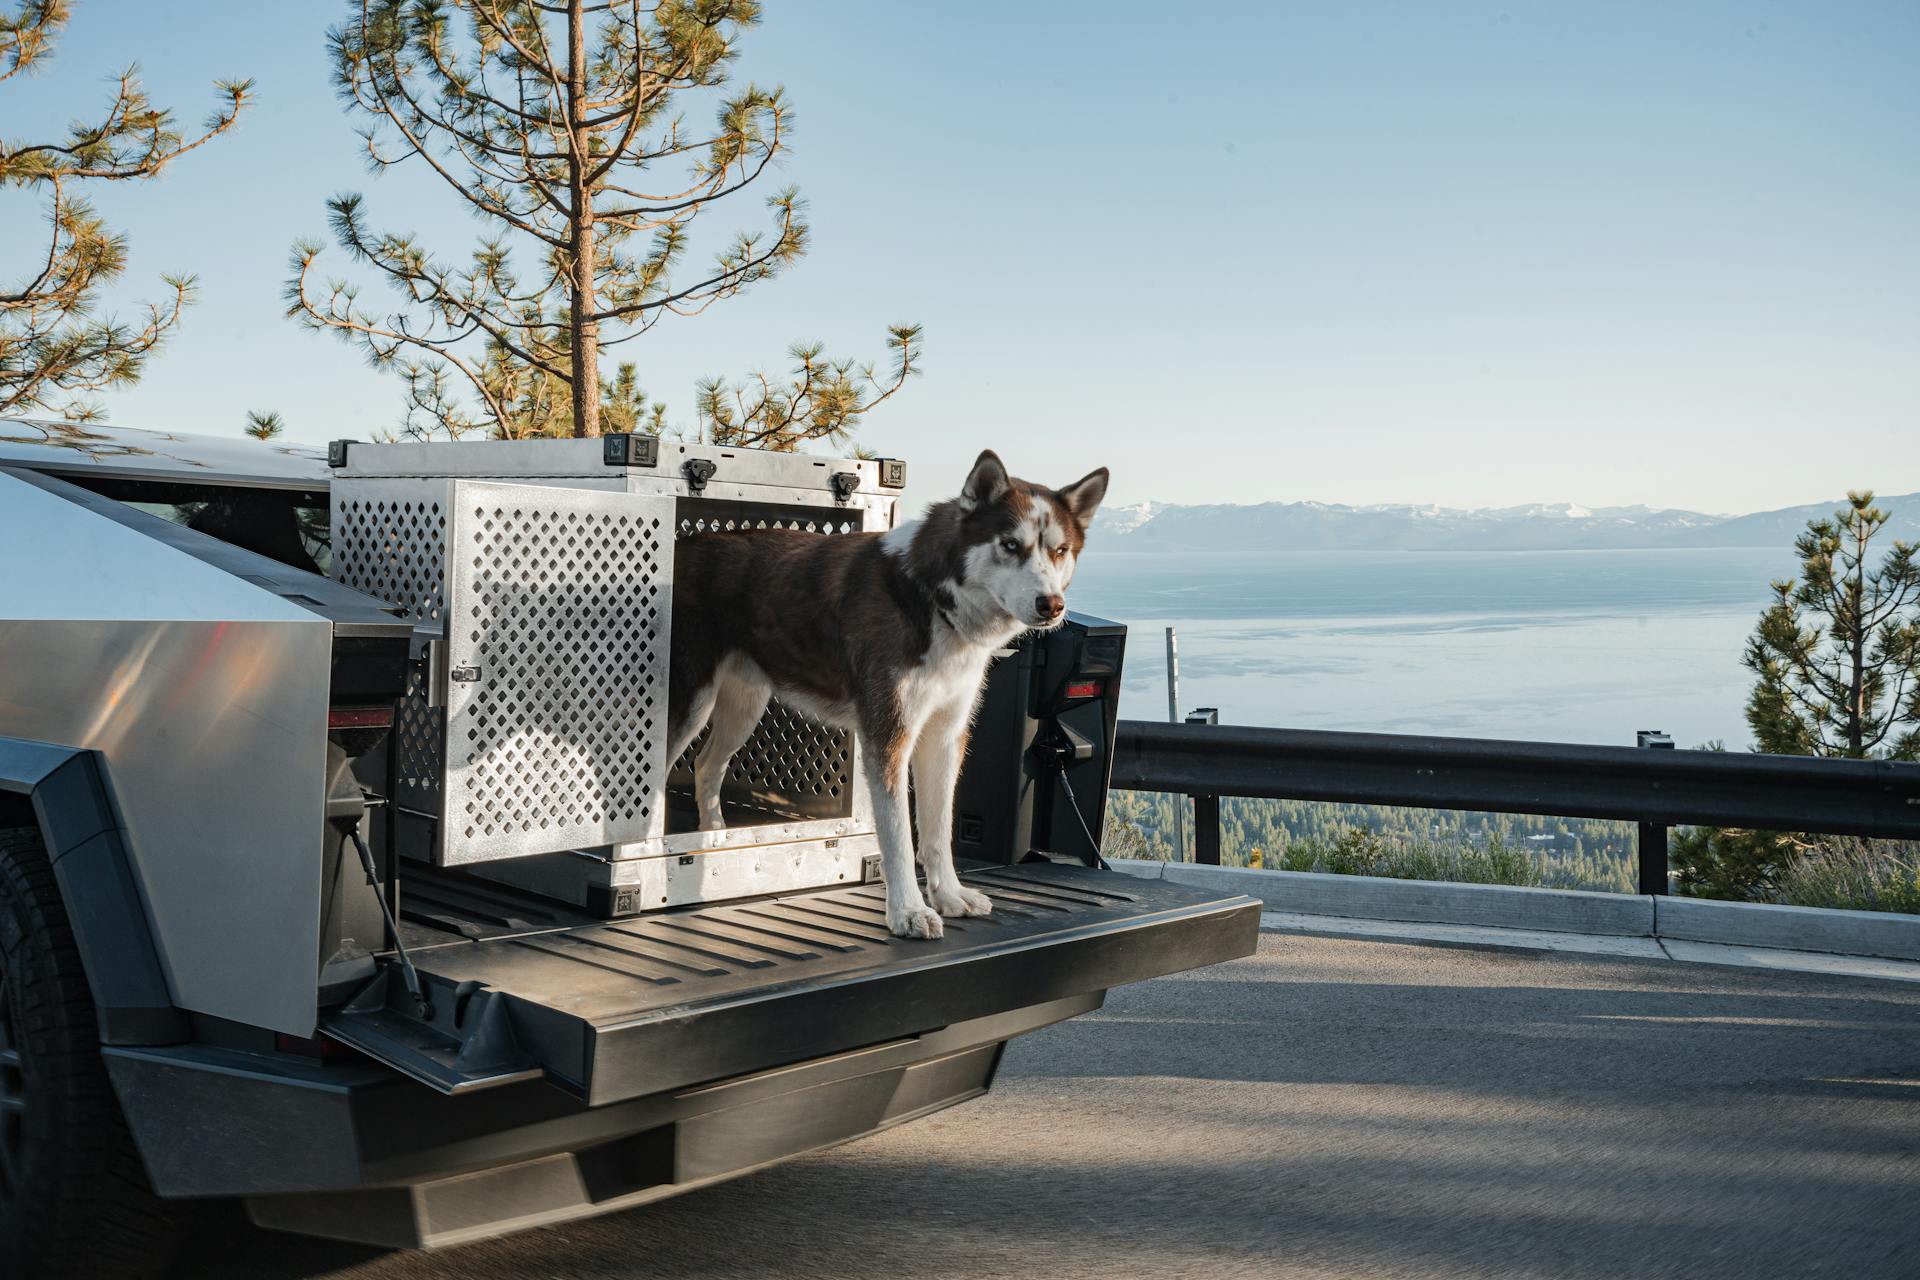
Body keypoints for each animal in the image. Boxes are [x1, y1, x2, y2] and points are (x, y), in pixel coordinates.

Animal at [668, 450, 1113, 940]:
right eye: (1011, 545)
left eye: (1060, 551)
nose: (1051, 605)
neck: (932, 600)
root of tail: (684, 544)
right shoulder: (890, 736)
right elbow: (899, 838)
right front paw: (908, 912)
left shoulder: (944, 736)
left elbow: (938, 831)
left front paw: (949, 896)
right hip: (686, 708)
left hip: (743, 706)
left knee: (707, 766)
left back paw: (712, 837)